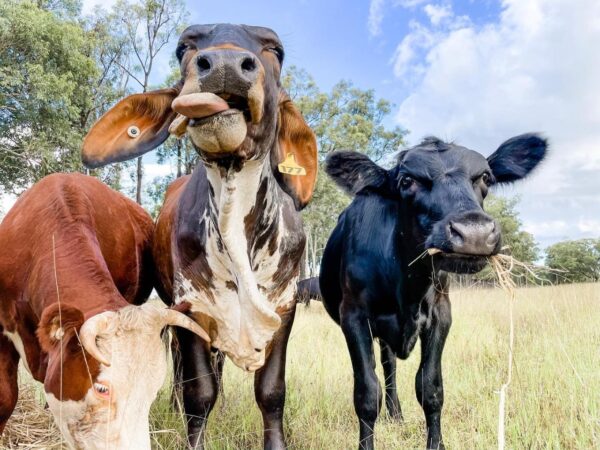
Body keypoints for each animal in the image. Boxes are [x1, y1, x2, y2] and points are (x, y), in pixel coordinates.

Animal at [82, 25, 322, 450]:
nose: (225, 65)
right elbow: (199, 392)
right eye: (185, 48)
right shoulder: (189, 306)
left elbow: (271, 391)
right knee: (185, 371)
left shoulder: (285, 306)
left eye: (275, 50)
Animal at [318, 134, 548, 450]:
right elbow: (366, 394)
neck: (405, 285)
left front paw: (436, 442)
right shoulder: (352, 316)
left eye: (485, 176)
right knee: (385, 368)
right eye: (406, 180)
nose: (474, 233)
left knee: (389, 365)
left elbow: (430, 388)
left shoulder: (441, 314)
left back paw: (396, 415)